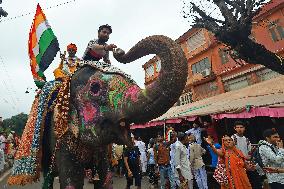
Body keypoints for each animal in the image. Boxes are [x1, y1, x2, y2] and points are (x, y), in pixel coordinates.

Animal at [7, 34, 187, 188]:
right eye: (95, 88)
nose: (118, 51)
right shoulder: (60, 135)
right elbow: (72, 181)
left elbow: (105, 177)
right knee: (48, 175)